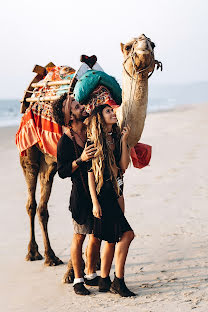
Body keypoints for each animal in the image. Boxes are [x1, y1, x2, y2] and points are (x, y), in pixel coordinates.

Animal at [17, 33, 161, 272]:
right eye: (128, 46)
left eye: (153, 43)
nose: (143, 47)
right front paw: (75, 271)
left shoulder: (117, 168)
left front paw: (95, 263)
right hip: (29, 151)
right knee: (32, 202)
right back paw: (33, 253)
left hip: (51, 162)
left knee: (43, 205)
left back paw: (51, 256)